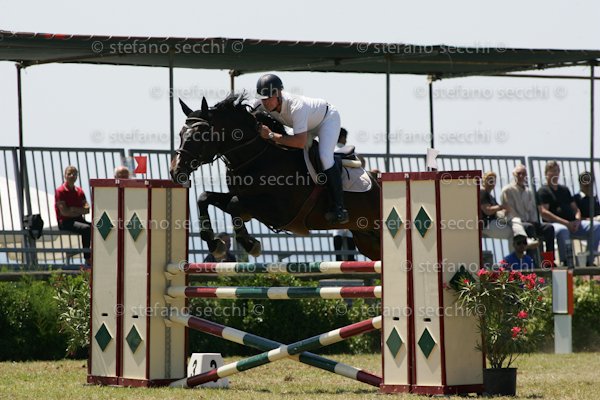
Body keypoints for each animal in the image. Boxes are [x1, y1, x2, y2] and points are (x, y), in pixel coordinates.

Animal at [170, 93, 381, 260]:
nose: (175, 171)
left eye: (201, 135)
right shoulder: (246, 201)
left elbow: (234, 205)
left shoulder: (281, 211)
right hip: (366, 238)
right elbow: (204, 197)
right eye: (180, 133)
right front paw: (215, 245)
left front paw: (250, 245)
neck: (256, 159)